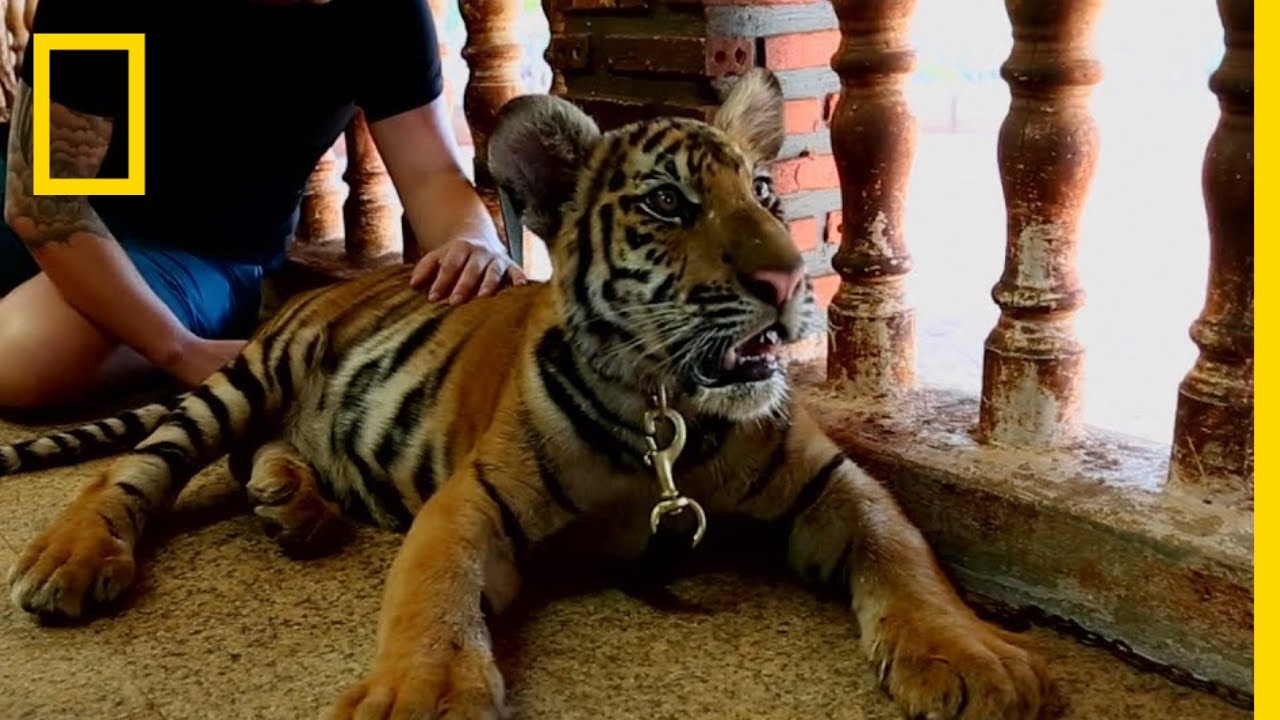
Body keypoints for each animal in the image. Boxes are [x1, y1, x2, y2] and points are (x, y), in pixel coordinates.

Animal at [0, 68, 1049, 720]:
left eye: (761, 189)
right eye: (667, 204)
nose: (792, 281)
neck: (675, 415)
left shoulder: (835, 484)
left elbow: (907, 554)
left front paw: (972, 659)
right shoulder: (474, 500)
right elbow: (431, 596)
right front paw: (420, 698)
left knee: (256, 454)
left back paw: (291, 504)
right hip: (245, 380)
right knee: (139, 469)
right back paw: (67, 557)